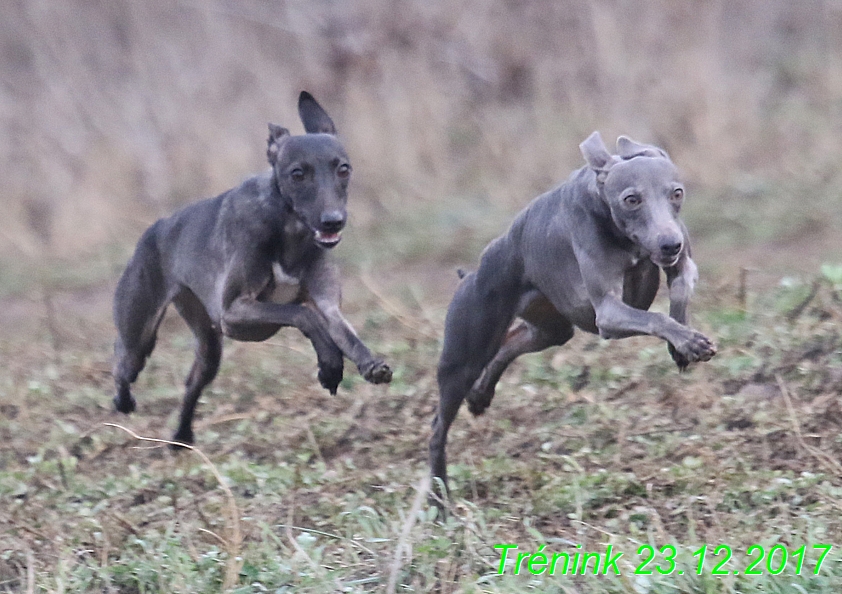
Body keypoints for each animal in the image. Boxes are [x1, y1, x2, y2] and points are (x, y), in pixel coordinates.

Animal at [111, 91, 394, 444]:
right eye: (297, 173)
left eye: (343, 168)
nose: (333, 221)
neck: (290, 231)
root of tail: (155, 228)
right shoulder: (235, 312)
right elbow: (302, 314)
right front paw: (329, 365)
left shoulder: (326, 304)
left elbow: (340, 330)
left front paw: (368, 364)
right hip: (139, 333)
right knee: (123, 365)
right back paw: (123, 402)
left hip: (208, 347)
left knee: (192, 383)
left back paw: (182, 436)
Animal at [434, 133, 716, 490]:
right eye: (631, 199)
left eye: (676, 193)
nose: (669, 244)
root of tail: (475, 272)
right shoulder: (608, 313)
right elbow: (655, 316)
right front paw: (687, 341)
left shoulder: (683, 264)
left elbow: (679, 290)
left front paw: (683, 344)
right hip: (462, 357)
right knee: (438, 429)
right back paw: (438, 493)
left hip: (550, 331)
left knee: (508, 344)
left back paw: (480, 395)